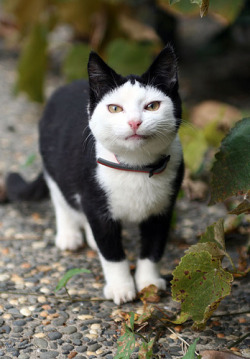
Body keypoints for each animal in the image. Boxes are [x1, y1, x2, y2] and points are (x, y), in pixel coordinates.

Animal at [6, 44, 185, 304]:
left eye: (152, 106)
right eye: (114, 108)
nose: (134, 122)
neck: (135, 167)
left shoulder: (163, 209)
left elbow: (154, 248)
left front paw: (149, 282)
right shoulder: (94, 201)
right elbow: (111, 252)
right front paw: (121, 287)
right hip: (54, 163)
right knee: (61, 196)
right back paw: (69, 234)